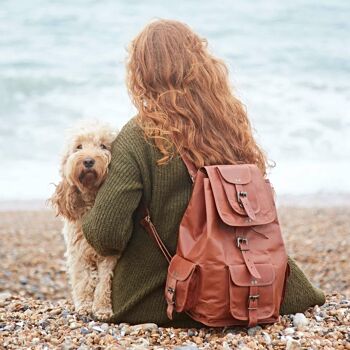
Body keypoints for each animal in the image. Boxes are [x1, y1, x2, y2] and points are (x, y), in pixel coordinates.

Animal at [49, 120, 117, 320]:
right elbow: (84, 279)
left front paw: (102, 308)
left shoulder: (110, 254)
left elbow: (104, 282)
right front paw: (85, 306)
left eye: (103, 146)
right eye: (78, 147)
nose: (88, 161)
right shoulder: (78, 253)